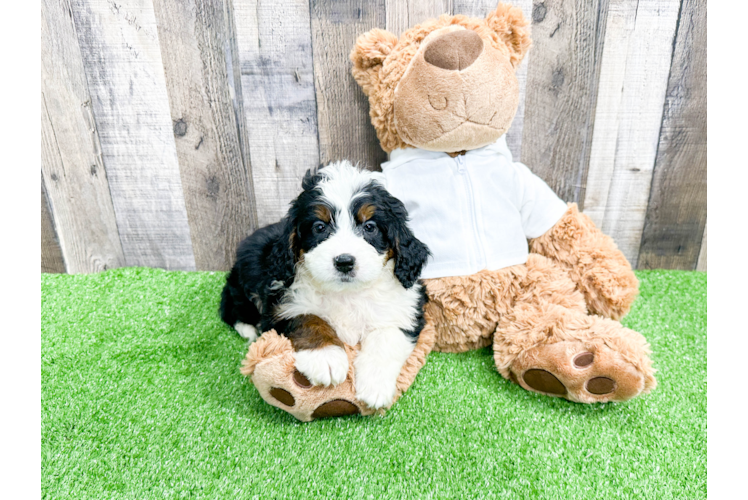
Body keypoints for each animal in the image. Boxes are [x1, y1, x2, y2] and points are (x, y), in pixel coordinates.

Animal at [219, 162, 430, 408]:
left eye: (370, 227)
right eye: (320, 227)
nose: (344, 262)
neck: (347, 293)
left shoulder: (406, 308)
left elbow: (387, 336)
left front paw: (375, 384)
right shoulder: (282, 303)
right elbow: (309, 319)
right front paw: (325, 357)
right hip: (246, 277)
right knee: (231, 306)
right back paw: (249, 329)